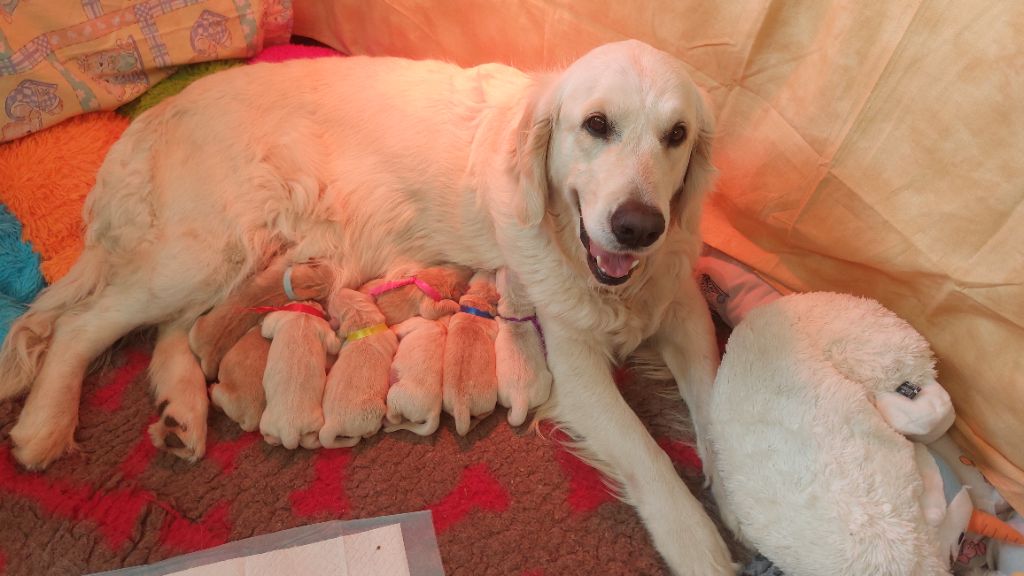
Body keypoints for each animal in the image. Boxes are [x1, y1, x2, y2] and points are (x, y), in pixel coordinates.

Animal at [0, 41, 737, 573]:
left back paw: (182, 411)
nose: (639, 227)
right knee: (81, 324)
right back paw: (44, 424)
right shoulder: (572, 361)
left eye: (676, 135)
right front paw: (702, 544)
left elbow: (719, 401)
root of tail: (155, 116)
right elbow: (649, 456)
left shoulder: (683, 308)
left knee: (176, 332)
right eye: (596, 125)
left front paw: (743, 499)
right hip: (205, 249)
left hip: (229, 261)